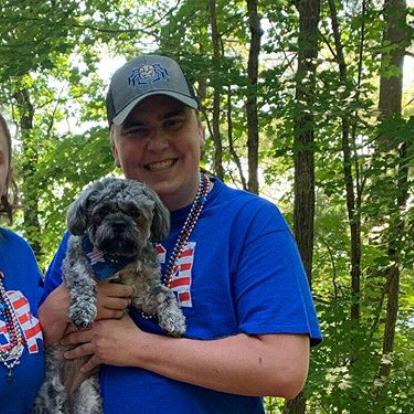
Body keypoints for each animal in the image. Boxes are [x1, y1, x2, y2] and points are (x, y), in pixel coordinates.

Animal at [34, 177, 186, 414]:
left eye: (134, 212)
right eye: (103, 211)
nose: (119, 223)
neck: (114, 258)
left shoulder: (141, 291)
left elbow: (165, 293)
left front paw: (174, 319)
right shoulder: (75, 262)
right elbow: (83, 282)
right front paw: (83, 311)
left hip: (88, 399)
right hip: (50, 394)